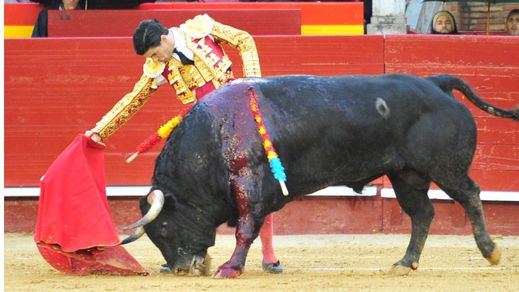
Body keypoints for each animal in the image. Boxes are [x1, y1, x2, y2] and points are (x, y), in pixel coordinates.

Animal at [123, 73, 519, 278]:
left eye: (163, 228)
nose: (178, 268)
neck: (213, 135)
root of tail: (435, 82)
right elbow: (253, 227)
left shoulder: (247, 183)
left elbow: (245, 228)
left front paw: (230, 268)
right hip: (407, 176)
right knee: (423, 213)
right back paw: (406, 263)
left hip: (445, 168)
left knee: (470, 195)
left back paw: (490, 251)